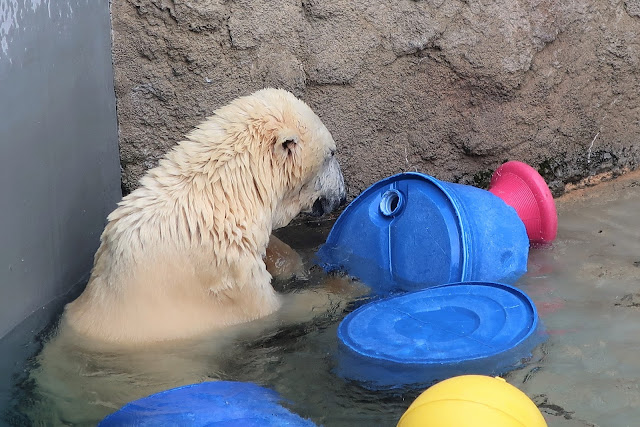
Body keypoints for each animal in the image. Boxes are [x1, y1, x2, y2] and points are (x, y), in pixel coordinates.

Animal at [61, 88, 344, 346]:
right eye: (332, 153)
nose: (342, 193)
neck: (222, 196)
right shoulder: (225, 272)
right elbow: (278, 310)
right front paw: (343, 284)